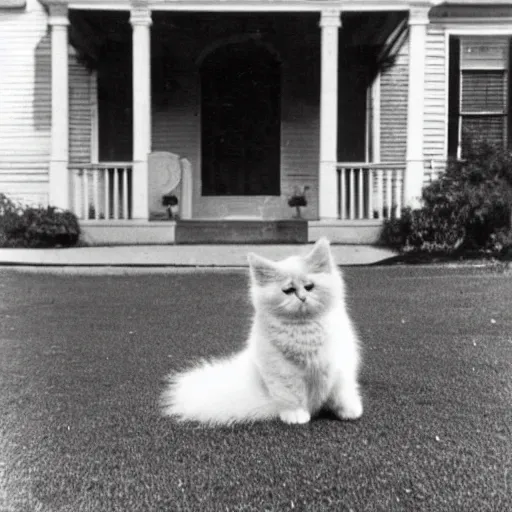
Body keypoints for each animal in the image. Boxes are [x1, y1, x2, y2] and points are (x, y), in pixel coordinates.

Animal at [162, 238, 362, 426]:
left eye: (309, 286)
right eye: (289, 290)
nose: (303, 298)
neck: (304, 325)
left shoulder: (340, 367)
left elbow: (342, 394)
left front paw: (350, 412)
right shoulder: (284, 373)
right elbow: (293, 396)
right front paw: (296, 416)